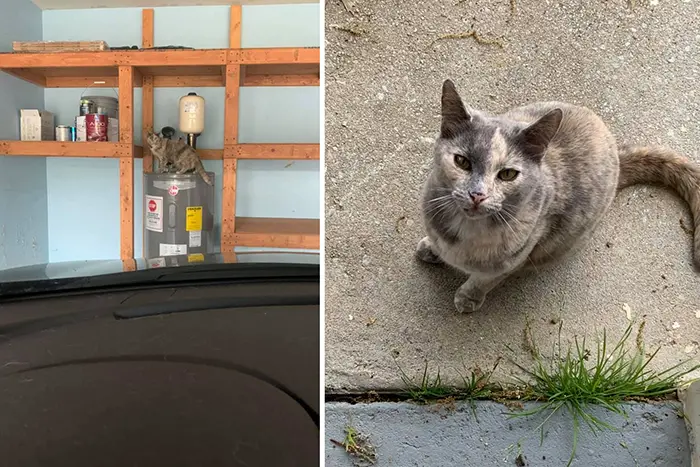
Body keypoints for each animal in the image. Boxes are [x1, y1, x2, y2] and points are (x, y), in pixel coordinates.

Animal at [418, 80, 696, 314]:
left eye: (507, 174)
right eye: (462, 162)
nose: (478, 194)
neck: (466, 230)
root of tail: (616, 152)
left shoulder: (516, 255)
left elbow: (484, 279)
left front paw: (469, 297)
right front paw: (431, 248)